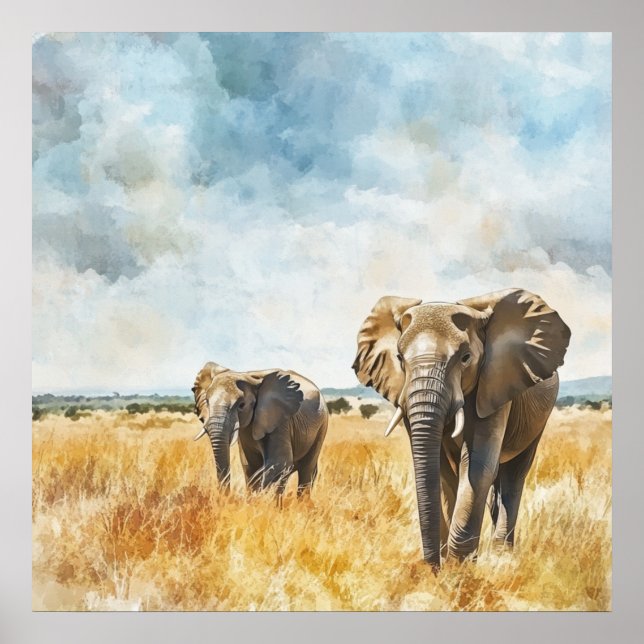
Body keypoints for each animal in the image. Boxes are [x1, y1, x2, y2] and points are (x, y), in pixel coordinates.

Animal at [191, 362, 328, 498]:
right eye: (207, 402)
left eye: (241, 405)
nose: (227, 497)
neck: (249, 377)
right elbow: (249, 465)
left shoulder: (279, 421)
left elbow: (280, 462)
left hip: (321, 425)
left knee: (306, 469)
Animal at [352, 288, 570, 569]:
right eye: (399, 359)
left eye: (466, 358)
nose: (431, 568)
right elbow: (441, 470)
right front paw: (450, 563)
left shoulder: (494, 383)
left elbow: (477, 466)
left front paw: (459, 567)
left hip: (538, 417)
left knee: (514, 475)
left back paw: (502, 555)